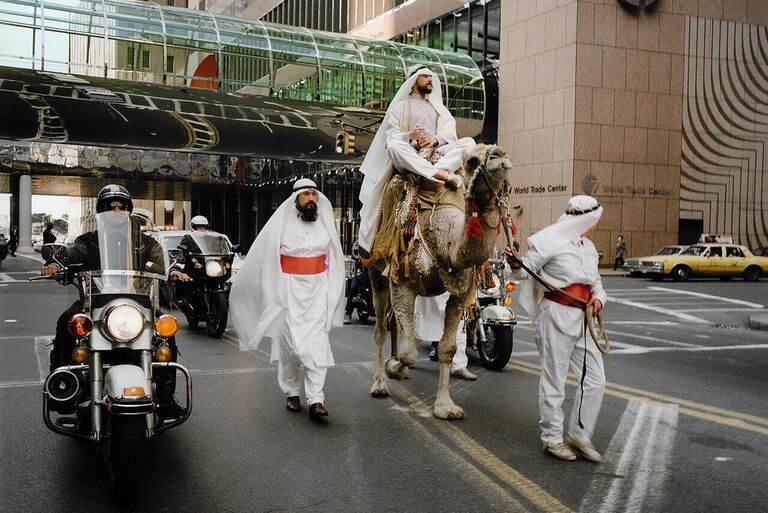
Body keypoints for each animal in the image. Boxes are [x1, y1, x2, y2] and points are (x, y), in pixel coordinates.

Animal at [364, 142, 510, 418]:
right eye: (472, 161)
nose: (500, 156)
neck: (446, 240)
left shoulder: (462, 293)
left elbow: (447, 348)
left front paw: (445, 406)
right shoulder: (401, 282)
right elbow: (410, 353)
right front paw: (393, 369)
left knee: (394, 324)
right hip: (376, 272)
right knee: (380, 328)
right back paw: (379, 382)